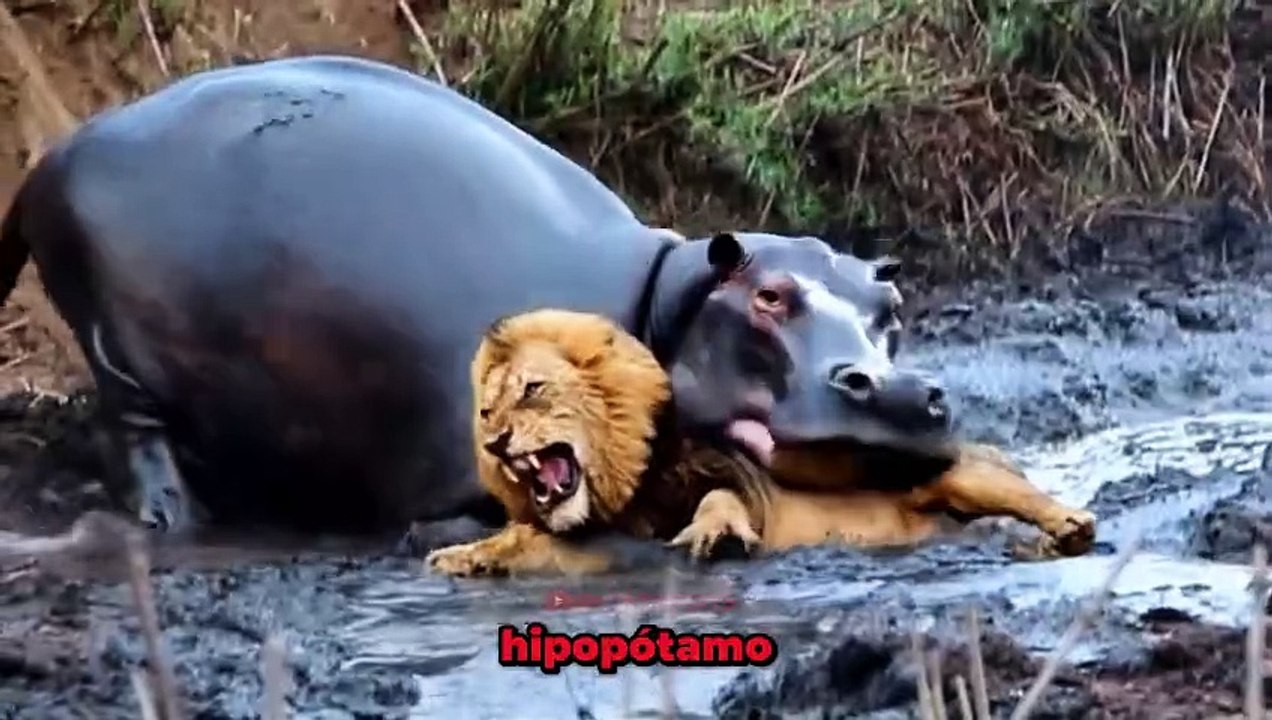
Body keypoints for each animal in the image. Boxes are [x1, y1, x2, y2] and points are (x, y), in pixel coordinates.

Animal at [424, 309, 1096, 578]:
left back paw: (1070, 528)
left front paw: (714, 535)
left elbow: (720, 501)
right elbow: (524, 539)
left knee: (1029, 498)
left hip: (963, 474)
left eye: (533, 389)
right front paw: (465, 555)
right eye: (486, 411)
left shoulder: (732, 479)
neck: (621, 490)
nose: (497, 441)